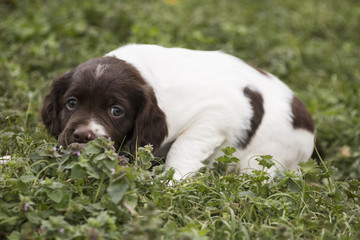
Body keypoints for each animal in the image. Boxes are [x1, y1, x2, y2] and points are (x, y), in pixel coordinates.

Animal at [41, 43, 318, 180]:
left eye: (116, 111)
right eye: (71, 103)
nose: (82, 136)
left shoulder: (216, 113)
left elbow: (183, 148)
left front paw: (172, 182)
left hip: (264, 159)